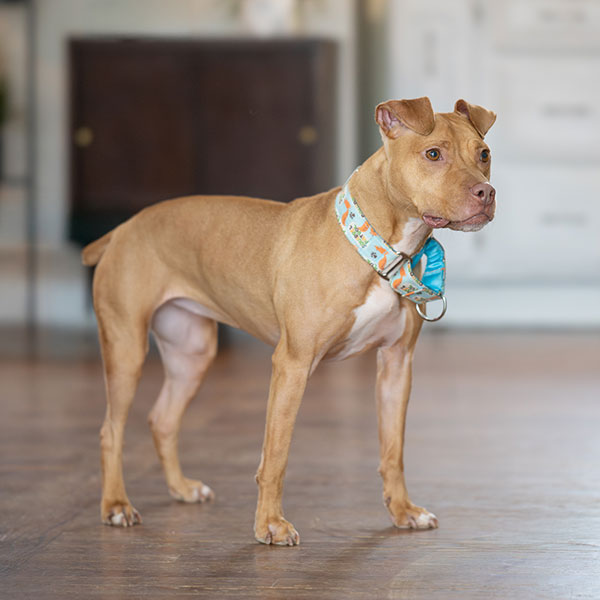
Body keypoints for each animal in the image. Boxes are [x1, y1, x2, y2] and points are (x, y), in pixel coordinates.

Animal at [82, 97, 496, 545]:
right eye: (433, 154)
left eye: (483, 154)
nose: (486, 192)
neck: (376, 247)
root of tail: (123, 228)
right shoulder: (292, 365)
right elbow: (276, 454)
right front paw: (270, 524)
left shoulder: (396, 365)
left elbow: (393, 450)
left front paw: (403, 511)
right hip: (126, 350)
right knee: (110, 431)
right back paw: (116, 505)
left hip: (191, 354)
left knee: (162, 420)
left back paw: (181, 488)